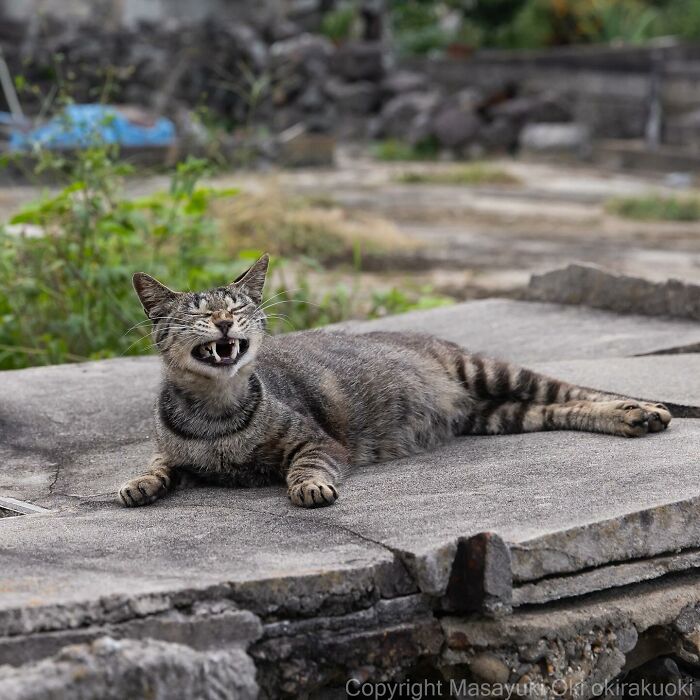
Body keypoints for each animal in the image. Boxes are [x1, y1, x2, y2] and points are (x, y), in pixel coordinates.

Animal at [119, 254, 672, 506]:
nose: (223, 322)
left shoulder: (317, 440)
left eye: (236, 307)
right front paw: (139, 483)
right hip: (500, 414)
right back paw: (631, 420)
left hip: (492, 371)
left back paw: (642, 410)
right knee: (556, 409)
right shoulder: (171, 450)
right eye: (199, 312)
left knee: (577, 391)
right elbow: (159, 462)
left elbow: (308, 464)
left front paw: (310, 486)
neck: (215, 413)